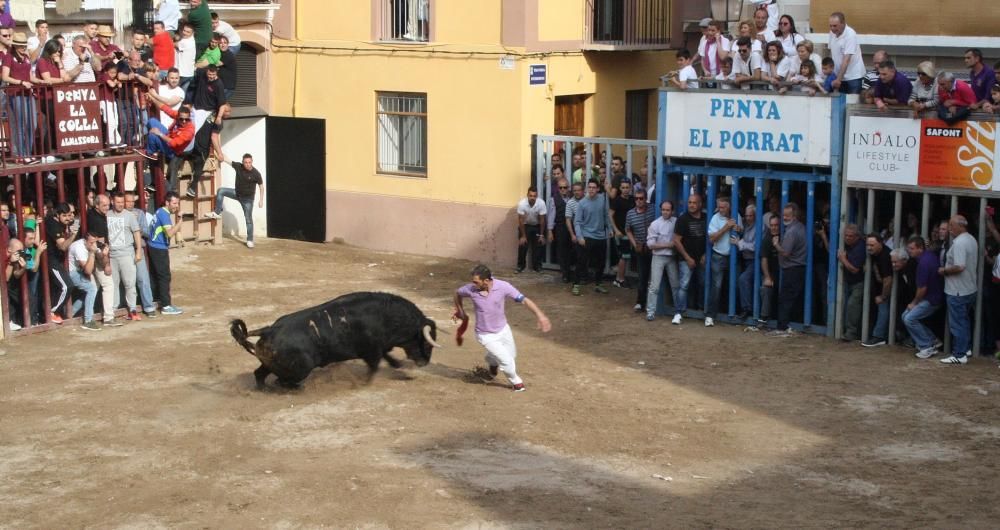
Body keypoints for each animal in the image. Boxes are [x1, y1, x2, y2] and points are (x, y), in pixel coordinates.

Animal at [232, 290, 444, 386]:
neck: (387, 315)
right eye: (427, 343)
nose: (424, 363)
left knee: (259, 375)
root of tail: (268, 330)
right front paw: (364, 383)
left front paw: (403, 371)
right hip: (300, 370)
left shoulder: (380, 347)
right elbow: (375, 366)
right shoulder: (372, 351)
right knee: (282, 382)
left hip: (269, 364)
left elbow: (389, 359)